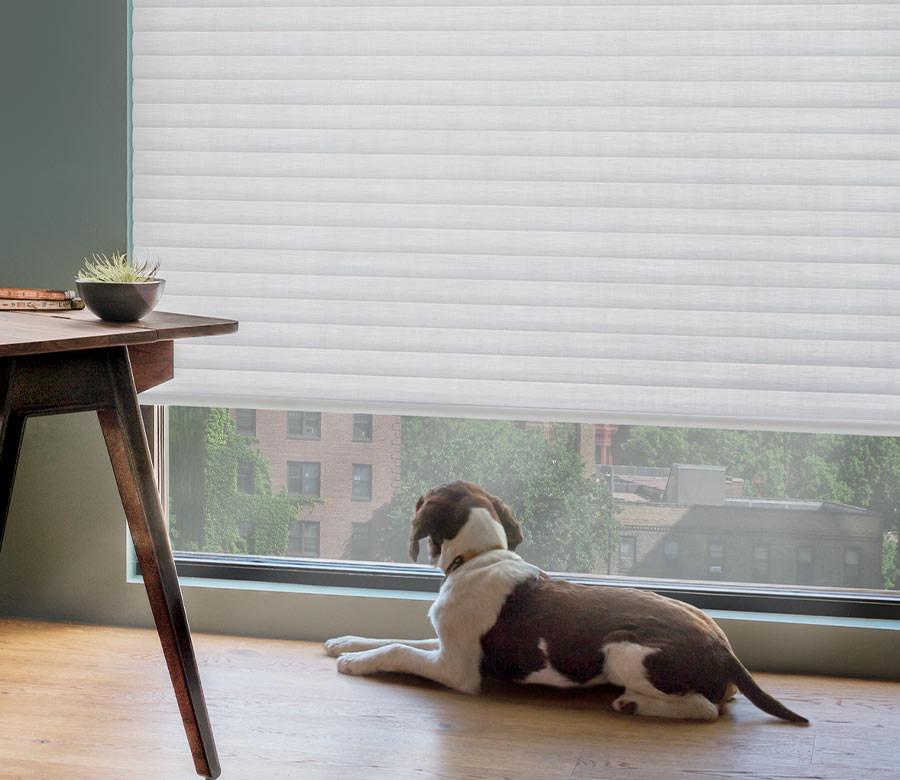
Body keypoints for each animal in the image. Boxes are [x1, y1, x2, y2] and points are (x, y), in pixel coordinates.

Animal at [326, 482, 808, 724]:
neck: (479, 557)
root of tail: (727, 653)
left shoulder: (456, 669)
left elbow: (398, 649)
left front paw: (354, 663)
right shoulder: (447, 644)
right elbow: (396, 637)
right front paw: (344, 643)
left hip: (622, 652)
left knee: (707, 710)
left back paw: (633, 704)